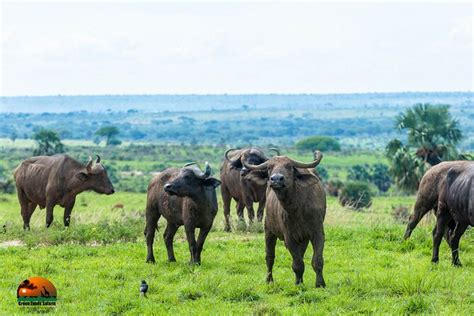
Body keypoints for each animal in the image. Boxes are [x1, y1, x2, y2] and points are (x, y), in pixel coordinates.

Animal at [244, 152, 326, 288]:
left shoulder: (317, 233)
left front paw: (320, 284)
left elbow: (317, 260)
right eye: (269, 167)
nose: (276, 179)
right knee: (270, 257)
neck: (298, 208)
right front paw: (298, 283)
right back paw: (269, 280)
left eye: (289, 166)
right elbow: (297, 264)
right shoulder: (290, 237)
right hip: (268, 230)